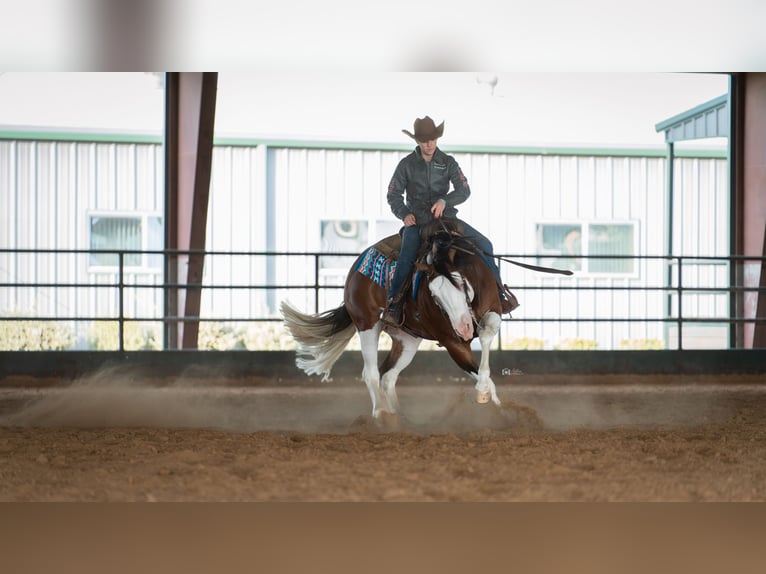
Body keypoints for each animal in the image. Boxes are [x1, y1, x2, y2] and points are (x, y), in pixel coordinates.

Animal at [282, 220, 510, 424]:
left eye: (461, 283)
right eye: (435, 296)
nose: (463, 328)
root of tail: (355, 268)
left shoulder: (493, 311)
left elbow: (486, 336)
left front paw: (501, 410)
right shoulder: (452, 343)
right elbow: (476, 370)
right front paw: (484, 394)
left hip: (407, 340)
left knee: (388, 376)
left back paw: (401, 418)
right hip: (367, 325)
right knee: (371, 373)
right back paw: (382, 415)